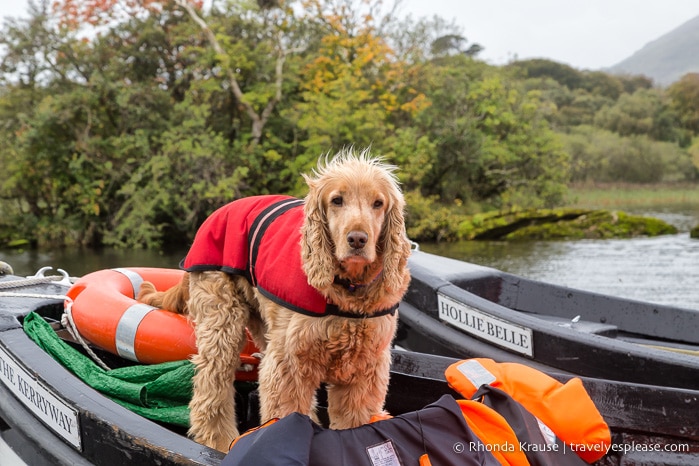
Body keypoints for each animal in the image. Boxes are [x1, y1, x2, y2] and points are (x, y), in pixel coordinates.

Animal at [138, 148, 410, 452]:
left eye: (378, 203)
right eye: (337, 200)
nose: (358, 239)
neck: (347, 289)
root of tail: (220, 210)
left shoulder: (364, 369)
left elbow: (355, 422)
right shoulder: (288, 363)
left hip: (265, 323)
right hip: (222, 318)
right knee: (212, 383)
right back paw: (218, 440)